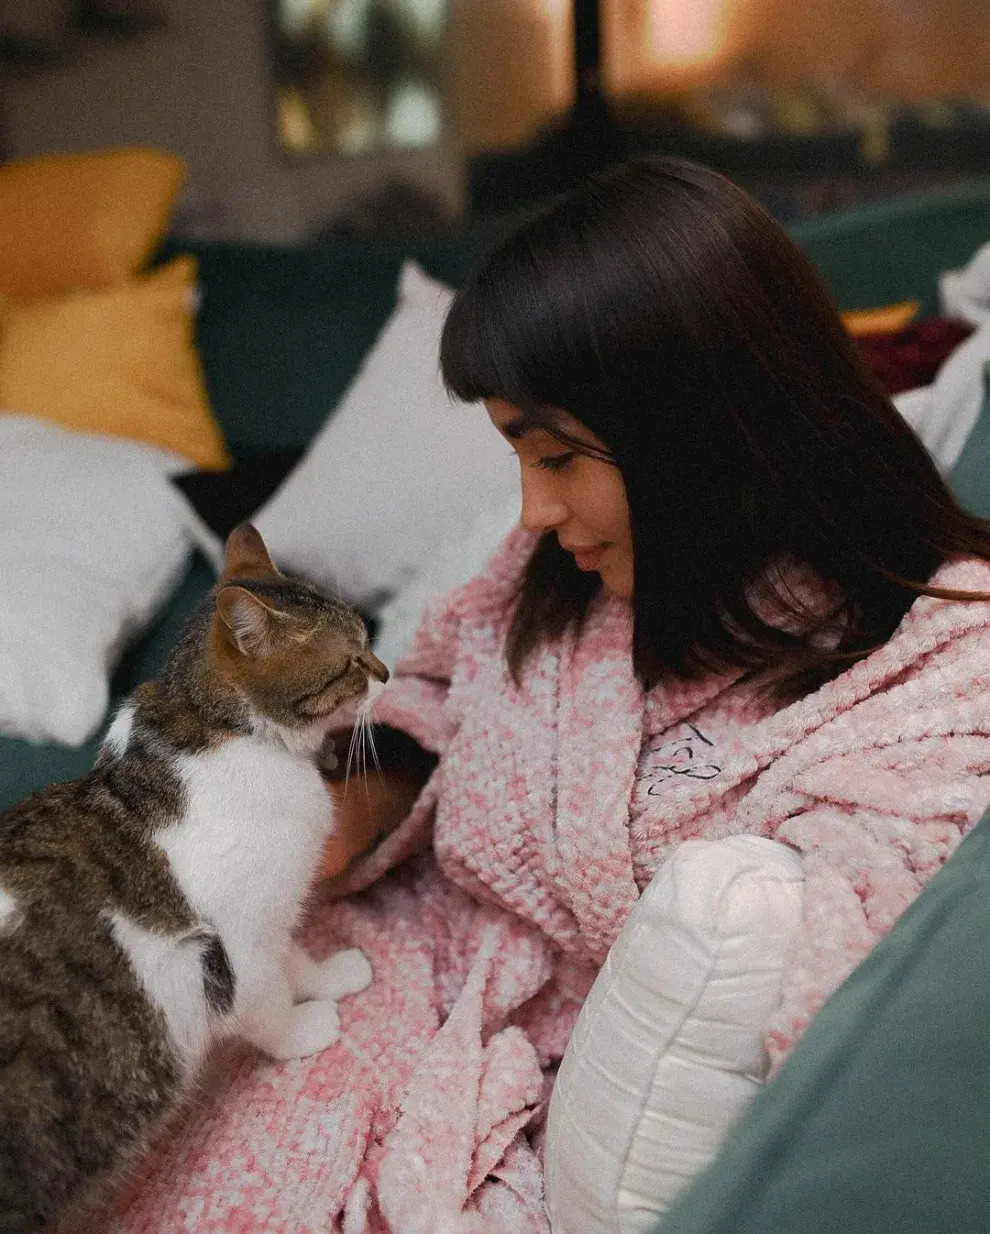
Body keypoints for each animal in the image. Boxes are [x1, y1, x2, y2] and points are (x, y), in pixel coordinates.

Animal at [0, 520, 385, 1224]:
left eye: (368, 639)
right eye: (352, 659)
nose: (387, 671)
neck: (217, 723)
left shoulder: (271, 911)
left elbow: (295, 958)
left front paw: (329, 976)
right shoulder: (232, 944)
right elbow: (265, 1001)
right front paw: (304, 1030)